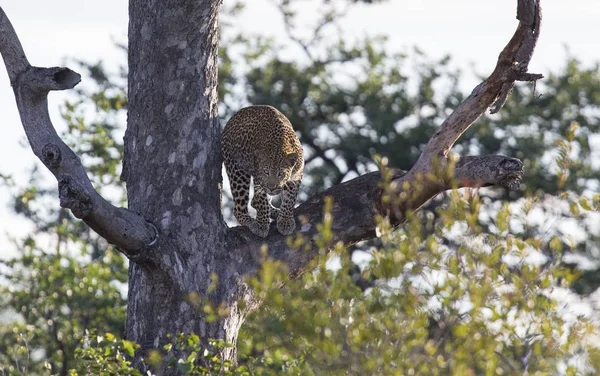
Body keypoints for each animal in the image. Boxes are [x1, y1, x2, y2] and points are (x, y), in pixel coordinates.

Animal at [221, 104, 304, 236]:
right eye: (266, 172)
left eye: (280, 174)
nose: (272, 188)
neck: (279, 147)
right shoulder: (259, 178)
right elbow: (262, 201)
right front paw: (261, 225)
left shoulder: (296, 175)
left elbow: (290, 199)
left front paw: (285, 221)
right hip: (237, 170)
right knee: (240, 207)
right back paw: (251, 222)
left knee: (253, 201)